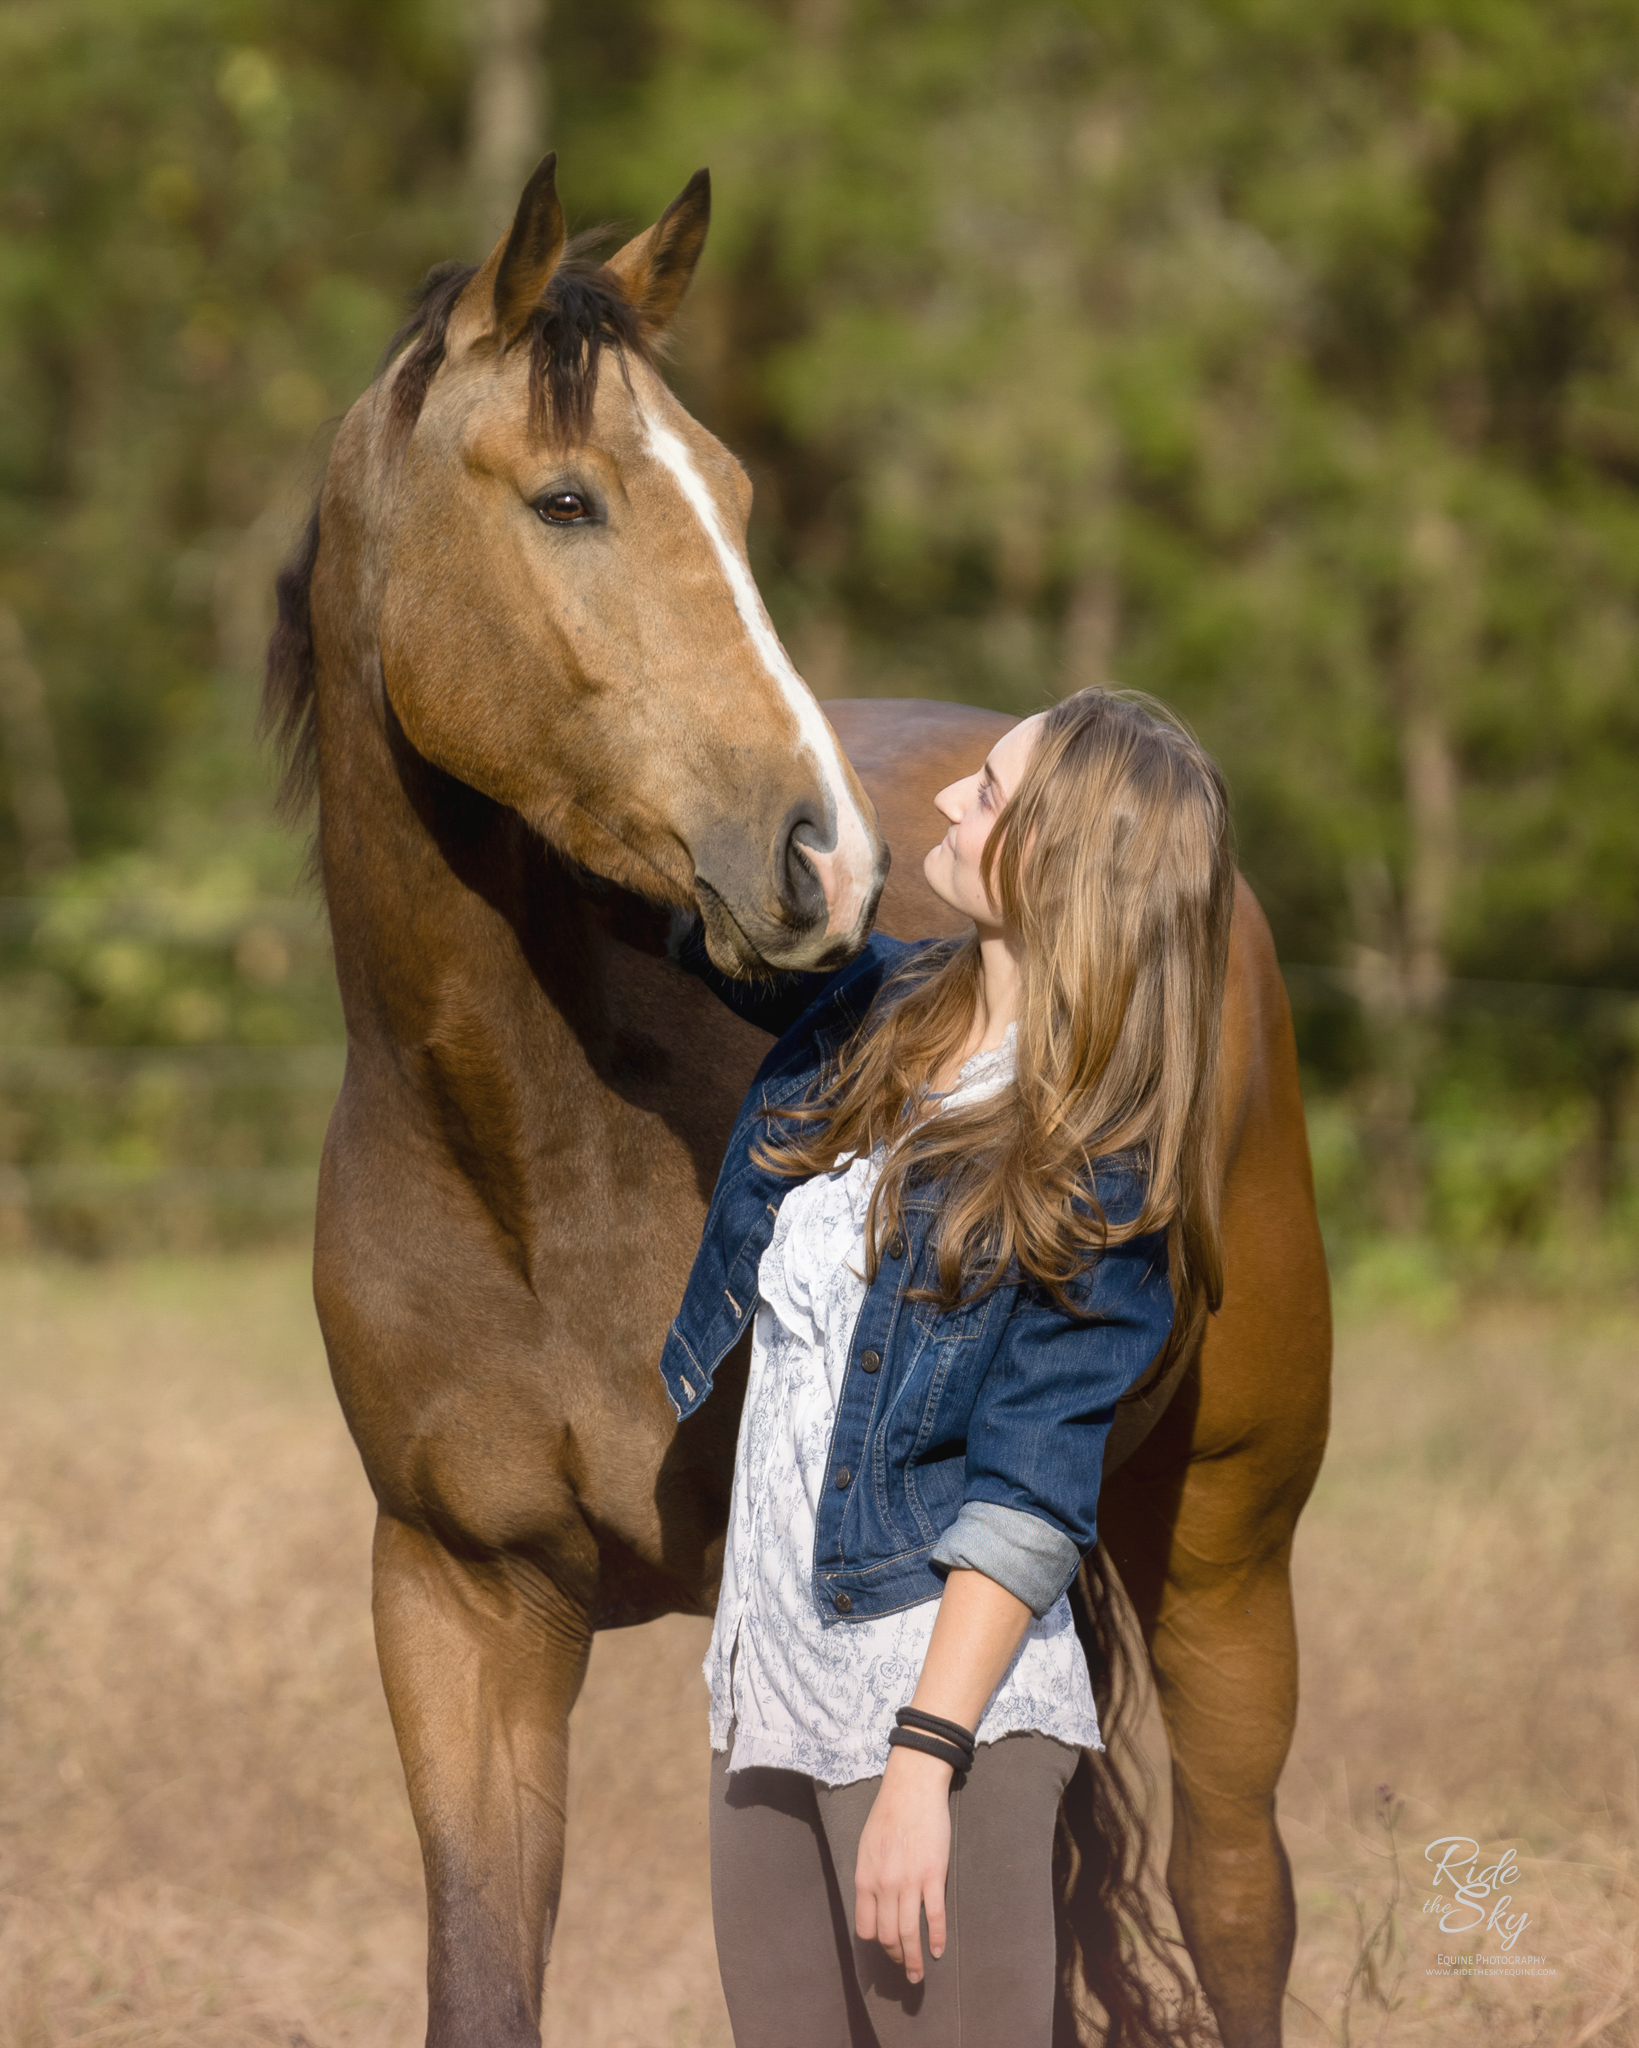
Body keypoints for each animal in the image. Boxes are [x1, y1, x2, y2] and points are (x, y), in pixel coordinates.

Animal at [259, 148, 1327, 2048]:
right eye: (564, 498)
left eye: (738, 494)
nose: (820, 856)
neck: (523, 1157)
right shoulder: (459, 1607)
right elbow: (482, 1969)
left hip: (1223, 1548)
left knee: (1231, 1902)